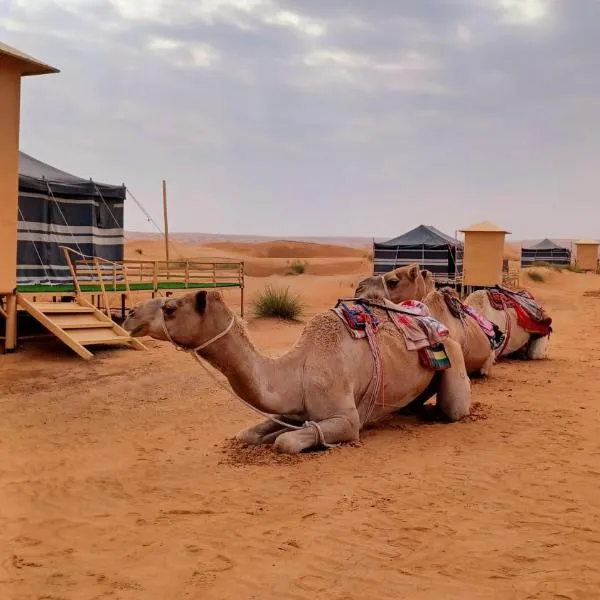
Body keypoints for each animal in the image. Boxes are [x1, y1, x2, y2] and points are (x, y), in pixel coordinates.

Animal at [120, 290, 468, 454]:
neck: (297, 371)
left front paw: (284, 438)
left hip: (454, 355)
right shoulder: (289, 408)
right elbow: (249, 434)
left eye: (169, 308)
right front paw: (270, 433)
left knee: (453, 409)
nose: (130, 315)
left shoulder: (348, 421)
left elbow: (287, 442)